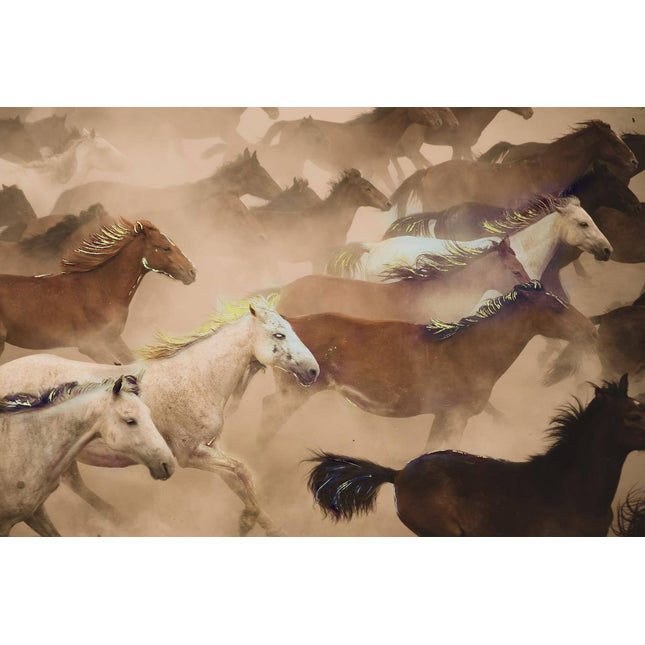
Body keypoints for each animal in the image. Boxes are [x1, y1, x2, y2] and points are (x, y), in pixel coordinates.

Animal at [261, 282, 597, 453]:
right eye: (555, 307)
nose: (590, 329)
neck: (470, 350)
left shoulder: (443, 416)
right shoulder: (455, 415)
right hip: (295, 394)